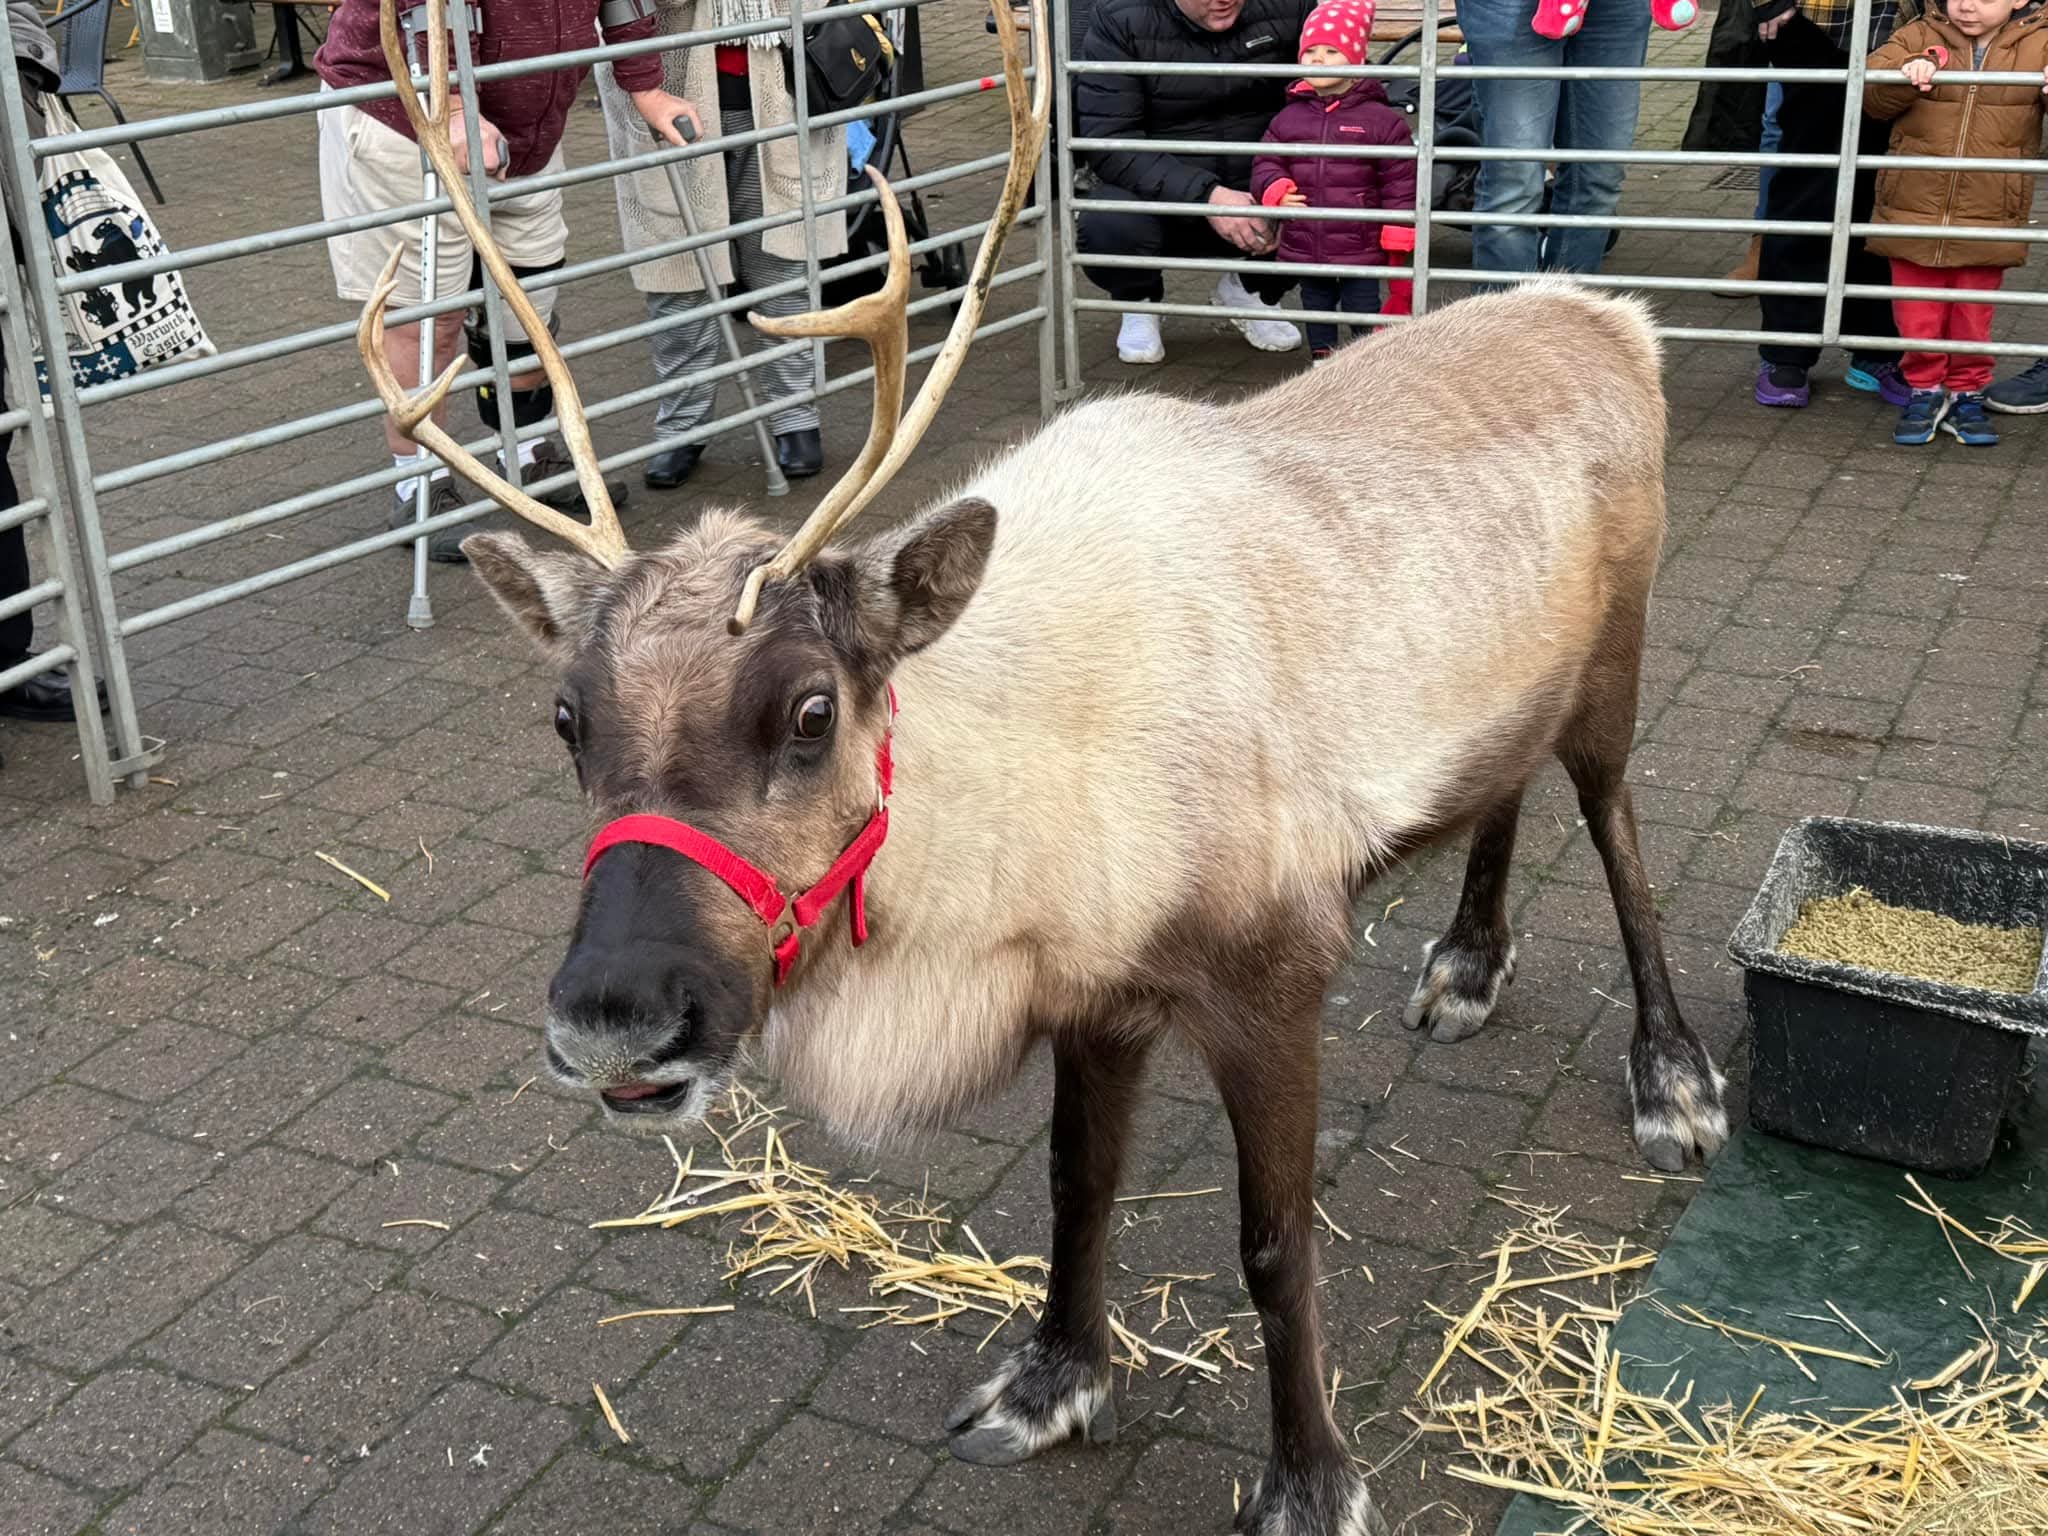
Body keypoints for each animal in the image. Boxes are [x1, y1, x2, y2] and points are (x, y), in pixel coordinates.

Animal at [356, 0, 1726, 1528]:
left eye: (811, 710)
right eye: (565, 718)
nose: (612, 1023)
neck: (1020, 783)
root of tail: (1610, 321)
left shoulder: (1271, 967)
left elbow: (1273, 1241)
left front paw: (1310, 1478)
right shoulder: (1096, 991)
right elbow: (1078, 1185)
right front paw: (1051, 1381)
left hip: (1617, 654)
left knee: (1612, 822)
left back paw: (1672, 1081)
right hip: (1520, 676)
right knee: (1506, 787)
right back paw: (1468, 965)